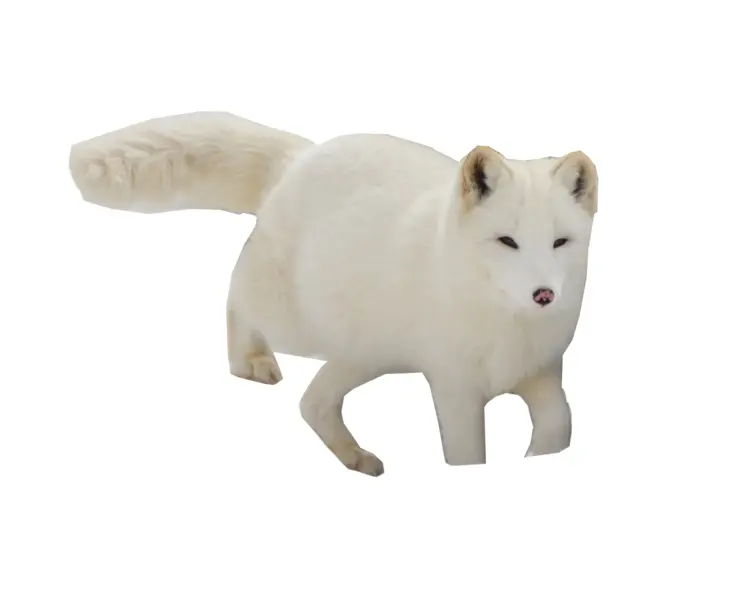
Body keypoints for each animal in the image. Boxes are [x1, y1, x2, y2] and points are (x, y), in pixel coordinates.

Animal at [68, 111, 598, 477]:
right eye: (507, 241)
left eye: (560, 242)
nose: (544, 294)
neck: (506, 326)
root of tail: (303, 156)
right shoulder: (455, 387)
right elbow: (467, 457)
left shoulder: (542, 372)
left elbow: (560, 426)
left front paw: (535, 459)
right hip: (296, 325)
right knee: (236, 296)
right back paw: (250, 361)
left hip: (367, 352)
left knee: (312, 402)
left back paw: (357, 459)